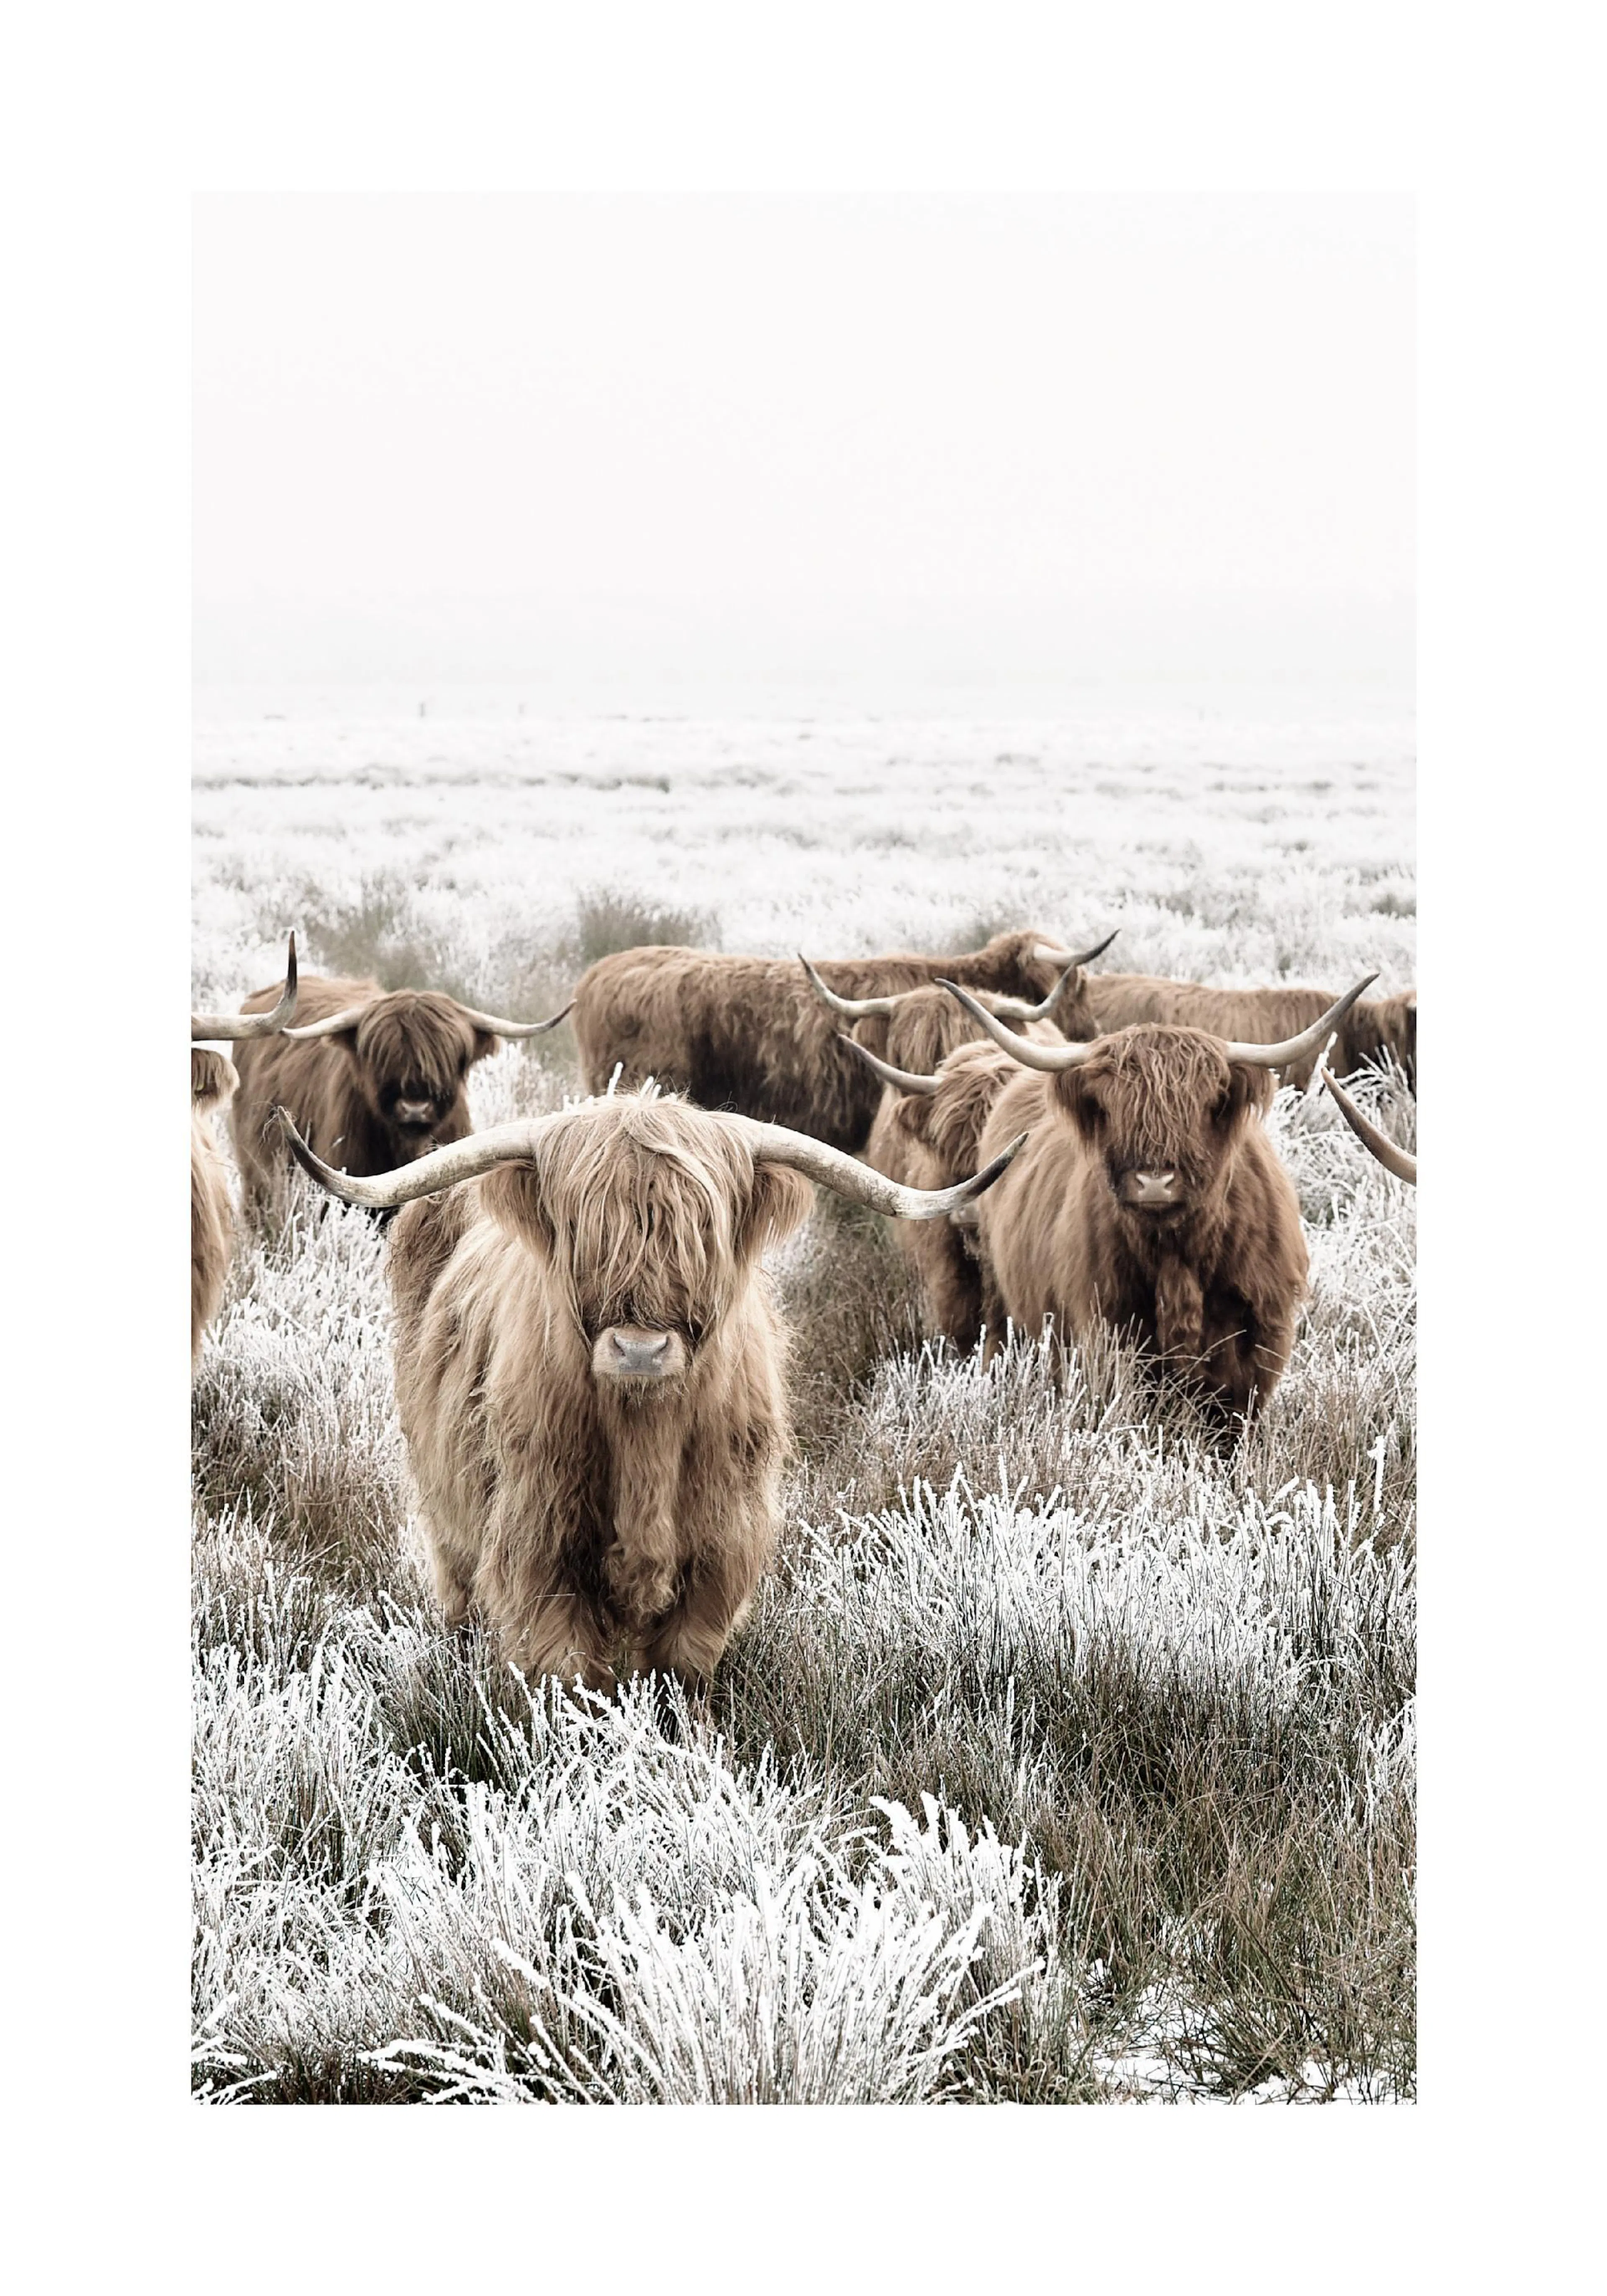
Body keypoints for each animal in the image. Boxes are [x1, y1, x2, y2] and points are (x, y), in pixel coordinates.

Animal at [278, 1091, 1025, 1689]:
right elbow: (571, 1678)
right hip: (447, 1513)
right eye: (582, 1231)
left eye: (702, 1233)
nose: (640, 1349)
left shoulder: (721, 1552)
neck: (646, 1440)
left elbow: (681, 1673)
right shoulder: (538, 1548)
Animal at [930, 973, 1379, 1418]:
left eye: (1205, 1104)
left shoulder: (1254, 1347)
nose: (1154, 1182)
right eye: (1112, 1107)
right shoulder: (1110, 1333)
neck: (1177, 1256)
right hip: (1000, 1292)